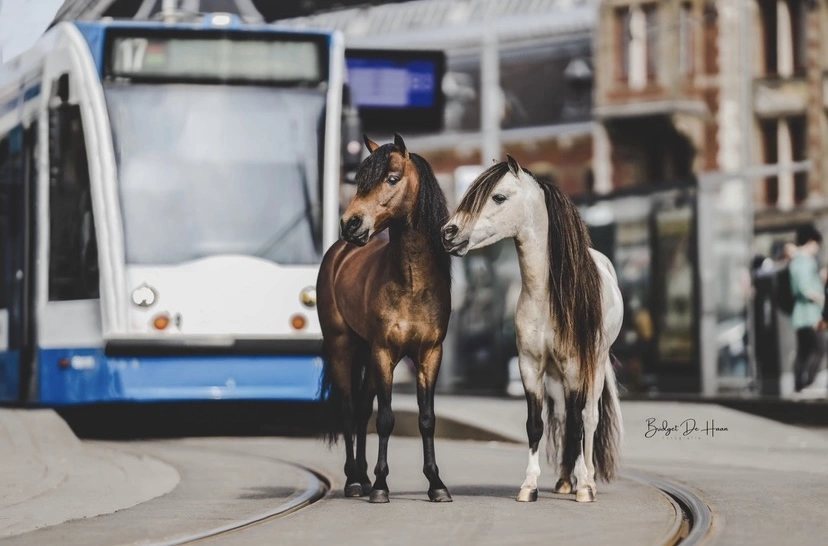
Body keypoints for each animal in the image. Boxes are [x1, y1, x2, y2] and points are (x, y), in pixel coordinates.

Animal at [316, 133, 452, 502]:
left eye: (391, 178)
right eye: (359, 180)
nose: (350, 224)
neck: (412, 283)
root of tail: (338, 253)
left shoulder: (430, 354)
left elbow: (427, 419)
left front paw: (436, 484)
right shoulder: (384, 352)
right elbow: (386, 419)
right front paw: (380, 486)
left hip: (365, 351)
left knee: (363, 409)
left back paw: (361, 476)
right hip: (344, 347)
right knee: (350, 410)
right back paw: (354, 481)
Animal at [440, 154, 620, 502]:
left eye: (498, 197)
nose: (448, 232)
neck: (547, 296)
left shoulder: (576, 366)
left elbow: (580, 424)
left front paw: (584, 488)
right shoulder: (530, 366)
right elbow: (536, 424)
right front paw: (529, 487)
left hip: (596, 365)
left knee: (589, 418)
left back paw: (588, 481)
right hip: (555, 375)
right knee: (563, 417)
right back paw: (564, 481)